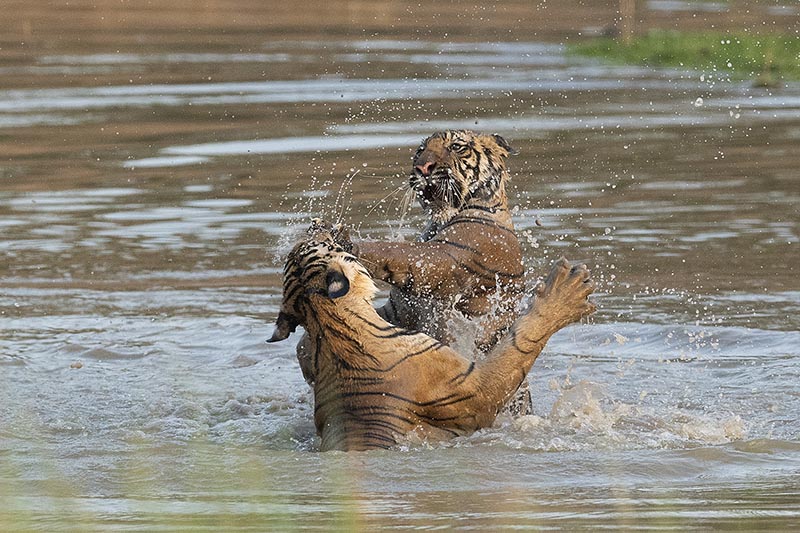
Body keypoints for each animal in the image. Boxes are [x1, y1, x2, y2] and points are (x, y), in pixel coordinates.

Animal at [268, 227, 595, 452]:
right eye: (322, 243)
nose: (315, 227)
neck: (330, 328)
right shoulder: (476, 389)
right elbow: (520, 342)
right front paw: (566, 292)